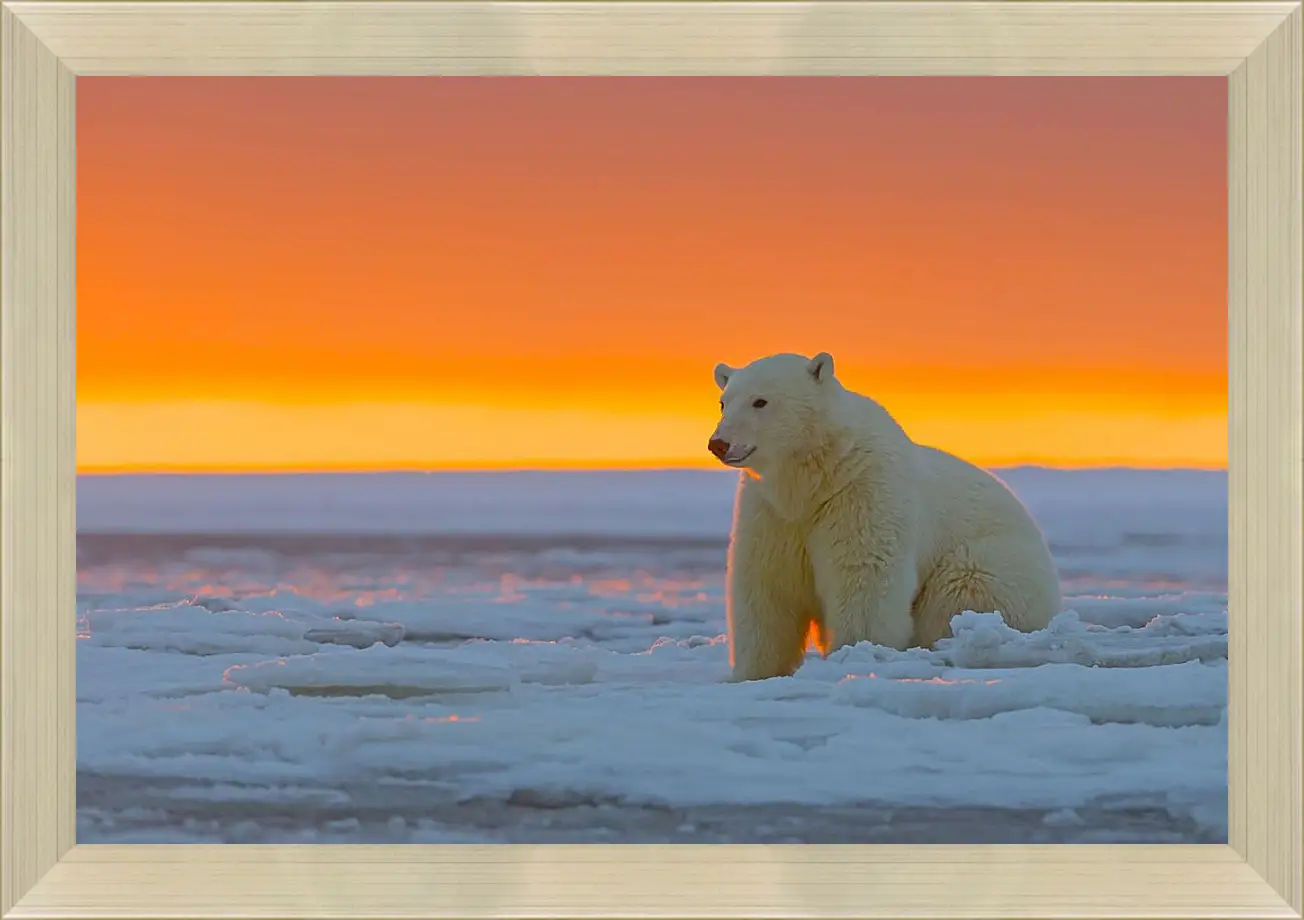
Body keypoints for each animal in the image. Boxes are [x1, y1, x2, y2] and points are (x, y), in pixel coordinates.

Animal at [709, 351, 1064, 682]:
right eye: (724, 402)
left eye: (760, 401)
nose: (718, 443)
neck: (814, 479)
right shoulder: (771, 511)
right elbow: (765, 586)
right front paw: (751, 673)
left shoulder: (862, 492)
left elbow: (863, 577)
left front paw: (856, 654)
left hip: (993, 566)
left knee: (962, 592)